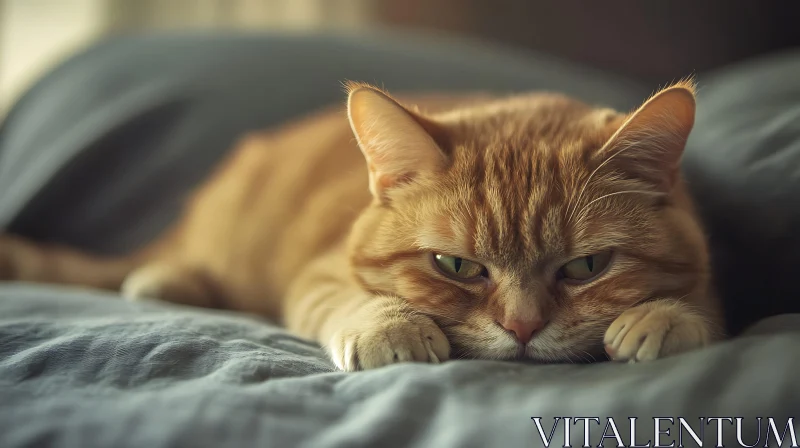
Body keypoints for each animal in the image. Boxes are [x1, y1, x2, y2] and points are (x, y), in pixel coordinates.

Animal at [0, 80, 724, 372]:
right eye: (456, 266)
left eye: (584, 268)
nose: (522, 329)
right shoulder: (319, 274)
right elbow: (357, 299)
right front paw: (391, 329)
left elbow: (703, 304)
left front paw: (666, 317)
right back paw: (167, 280)